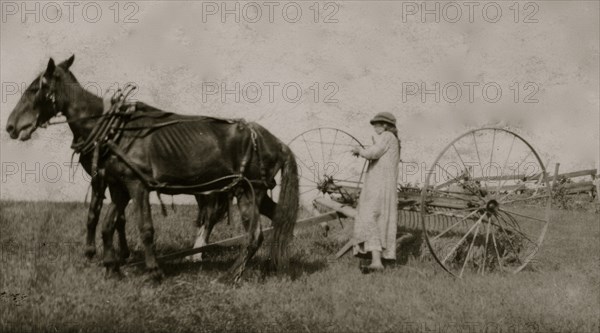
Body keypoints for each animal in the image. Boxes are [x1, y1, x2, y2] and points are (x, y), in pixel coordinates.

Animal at [5, 55, 300, 282]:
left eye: (34, 89)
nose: (11, 126)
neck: (113, 130)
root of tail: (276, 142)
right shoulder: (118, 185)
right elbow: (107, 223)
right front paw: (112, 266)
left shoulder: (138, 186)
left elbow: (145, 228)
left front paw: (153, 271)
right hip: (255, 192)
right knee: (279, 220)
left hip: (248, 191)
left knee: (254, 235)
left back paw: (231, 274)